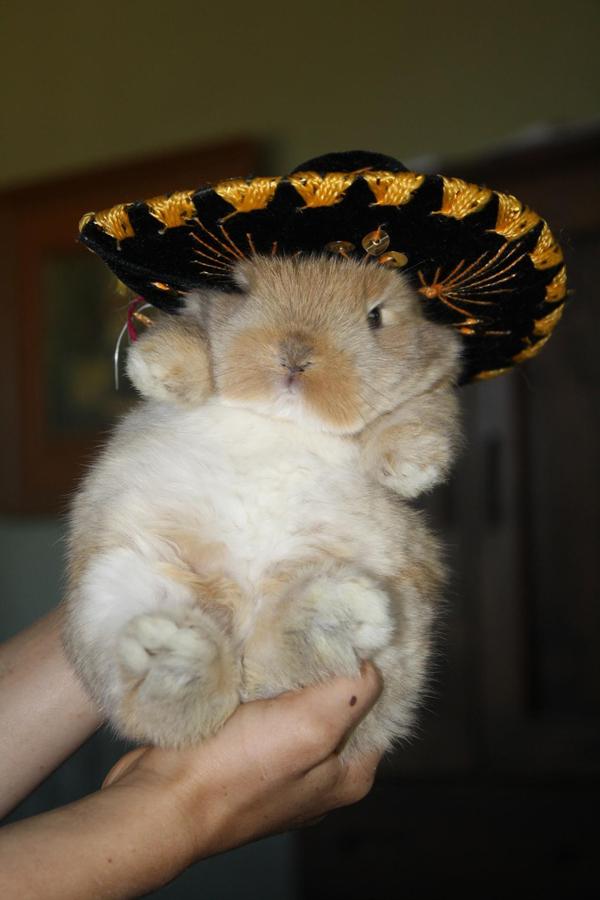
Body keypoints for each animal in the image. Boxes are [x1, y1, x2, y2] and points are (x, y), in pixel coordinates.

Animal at [63, 255, 462, 760]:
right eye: (240, 289)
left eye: (377, 315)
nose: (294, 355)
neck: (281, 419)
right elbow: (189, 330)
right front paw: (158, 366)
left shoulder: (434, 384)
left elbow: (428, 407)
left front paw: (410, 463)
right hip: (113, 586)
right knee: (165, 709)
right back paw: (176, 659)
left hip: (402, 623)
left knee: (281, 668)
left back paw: (329, 616)